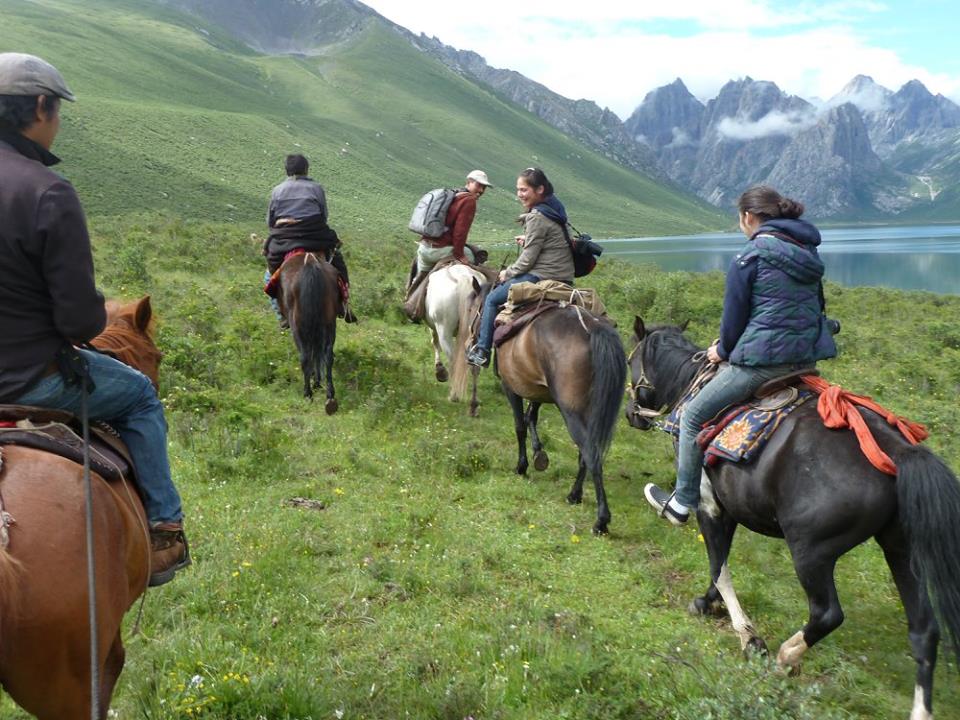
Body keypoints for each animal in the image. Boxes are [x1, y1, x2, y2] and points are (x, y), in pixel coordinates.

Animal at [278, 252, 342, 410]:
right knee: (327, 354)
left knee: (305, 356)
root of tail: (310, 264)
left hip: (298, 326)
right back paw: (330, 396)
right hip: (329, 323)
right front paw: (317, 380)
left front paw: (315, 381)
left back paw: (307, 393)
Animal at [426, 262, 488, 402]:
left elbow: (434, 342)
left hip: (444, 330)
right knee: (474, 364)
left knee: (453, 357)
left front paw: (440, 370)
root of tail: (464, 278)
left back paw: (454, 394)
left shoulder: (435, 327)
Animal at [628, 320, 960, 720]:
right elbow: (720, 562)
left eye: (629, 360)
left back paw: (786, 657)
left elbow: (719, 567)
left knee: (828, 614)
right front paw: (707, 603)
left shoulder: (709, 505)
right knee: (924, 631)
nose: (631, 415)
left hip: (810, 551)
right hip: (900, 549)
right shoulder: (730, 507)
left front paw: (748, 635)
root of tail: (897, 451)